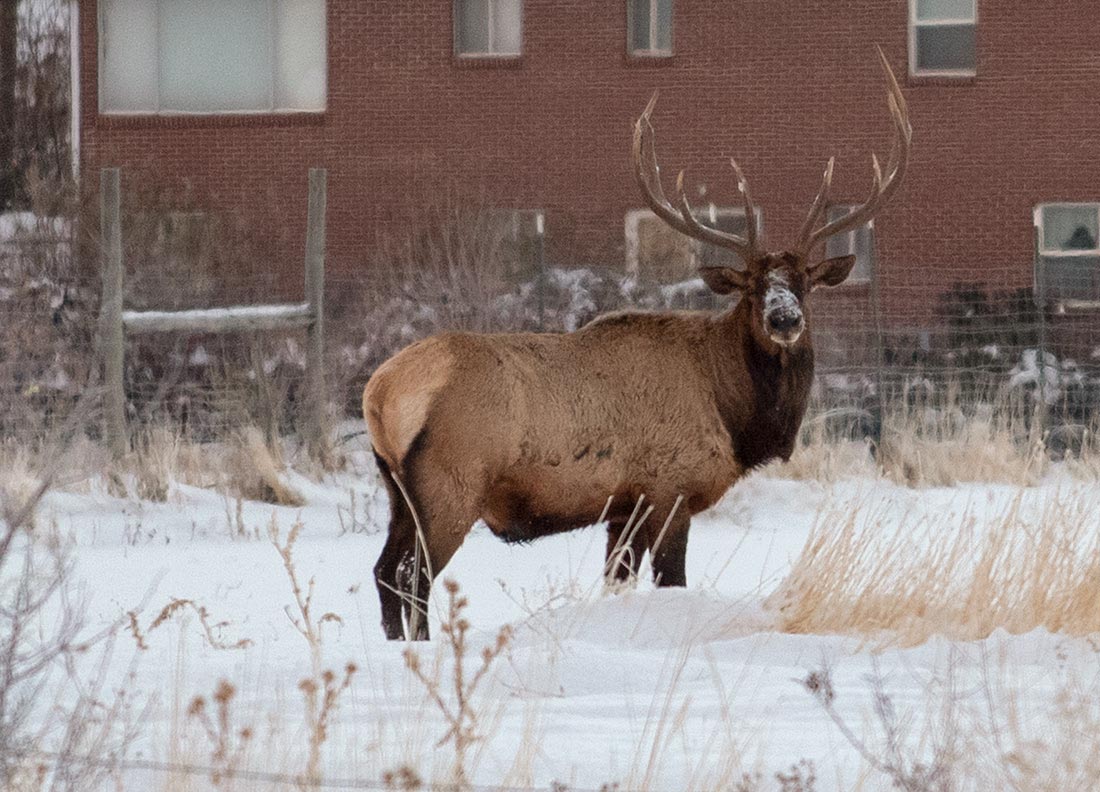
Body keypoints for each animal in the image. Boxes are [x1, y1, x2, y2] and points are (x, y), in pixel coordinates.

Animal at [365, 49, 906, 642]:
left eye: (804, 283)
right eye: (751, 287)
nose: (785, 318)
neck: (732, 411)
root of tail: (379, 393)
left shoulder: (623, 507)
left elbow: (616, 581)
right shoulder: (669, 488)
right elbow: (672, 581)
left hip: (397, 489)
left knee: (384, 570)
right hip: (450, 482)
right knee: (413, 575)